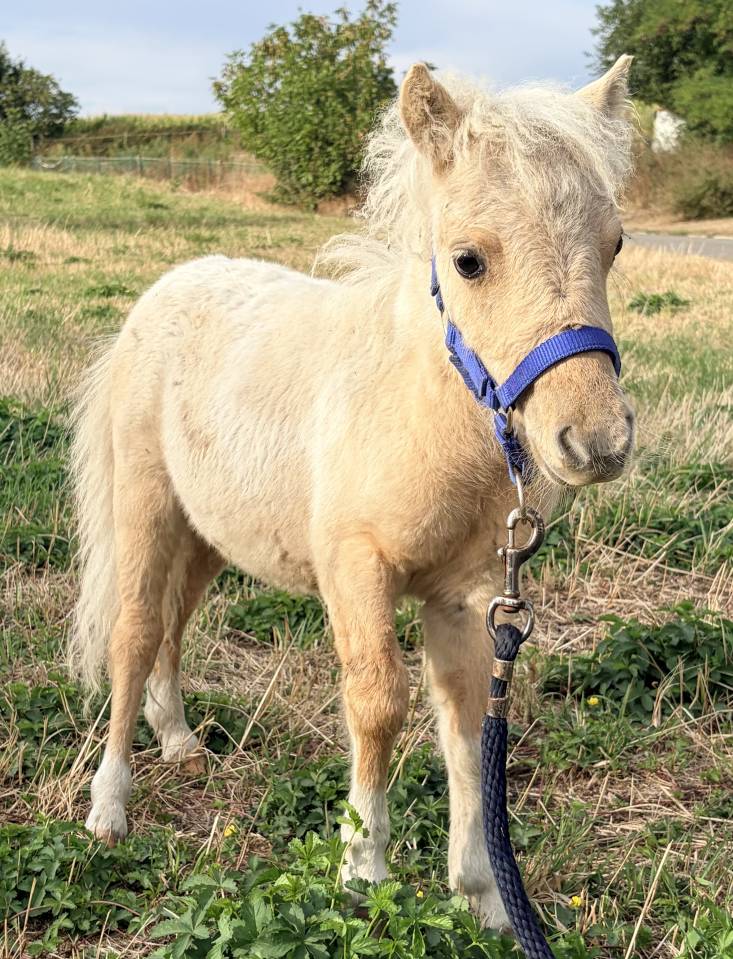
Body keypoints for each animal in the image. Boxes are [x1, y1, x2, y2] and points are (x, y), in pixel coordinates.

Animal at [69, 56, 635, 930]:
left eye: (613, 243)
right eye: (467, 260)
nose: (595, 443)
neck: (412, 404)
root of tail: (161, 292)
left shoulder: (468, 592)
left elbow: (464, 721)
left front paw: (483, 897)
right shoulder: (355, 567)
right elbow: (377, 702)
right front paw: (360, 871)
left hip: (210, 533)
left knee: (173, 623)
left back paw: (180, 740)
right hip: (146, 506)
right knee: (132, 634)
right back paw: (110, 805)